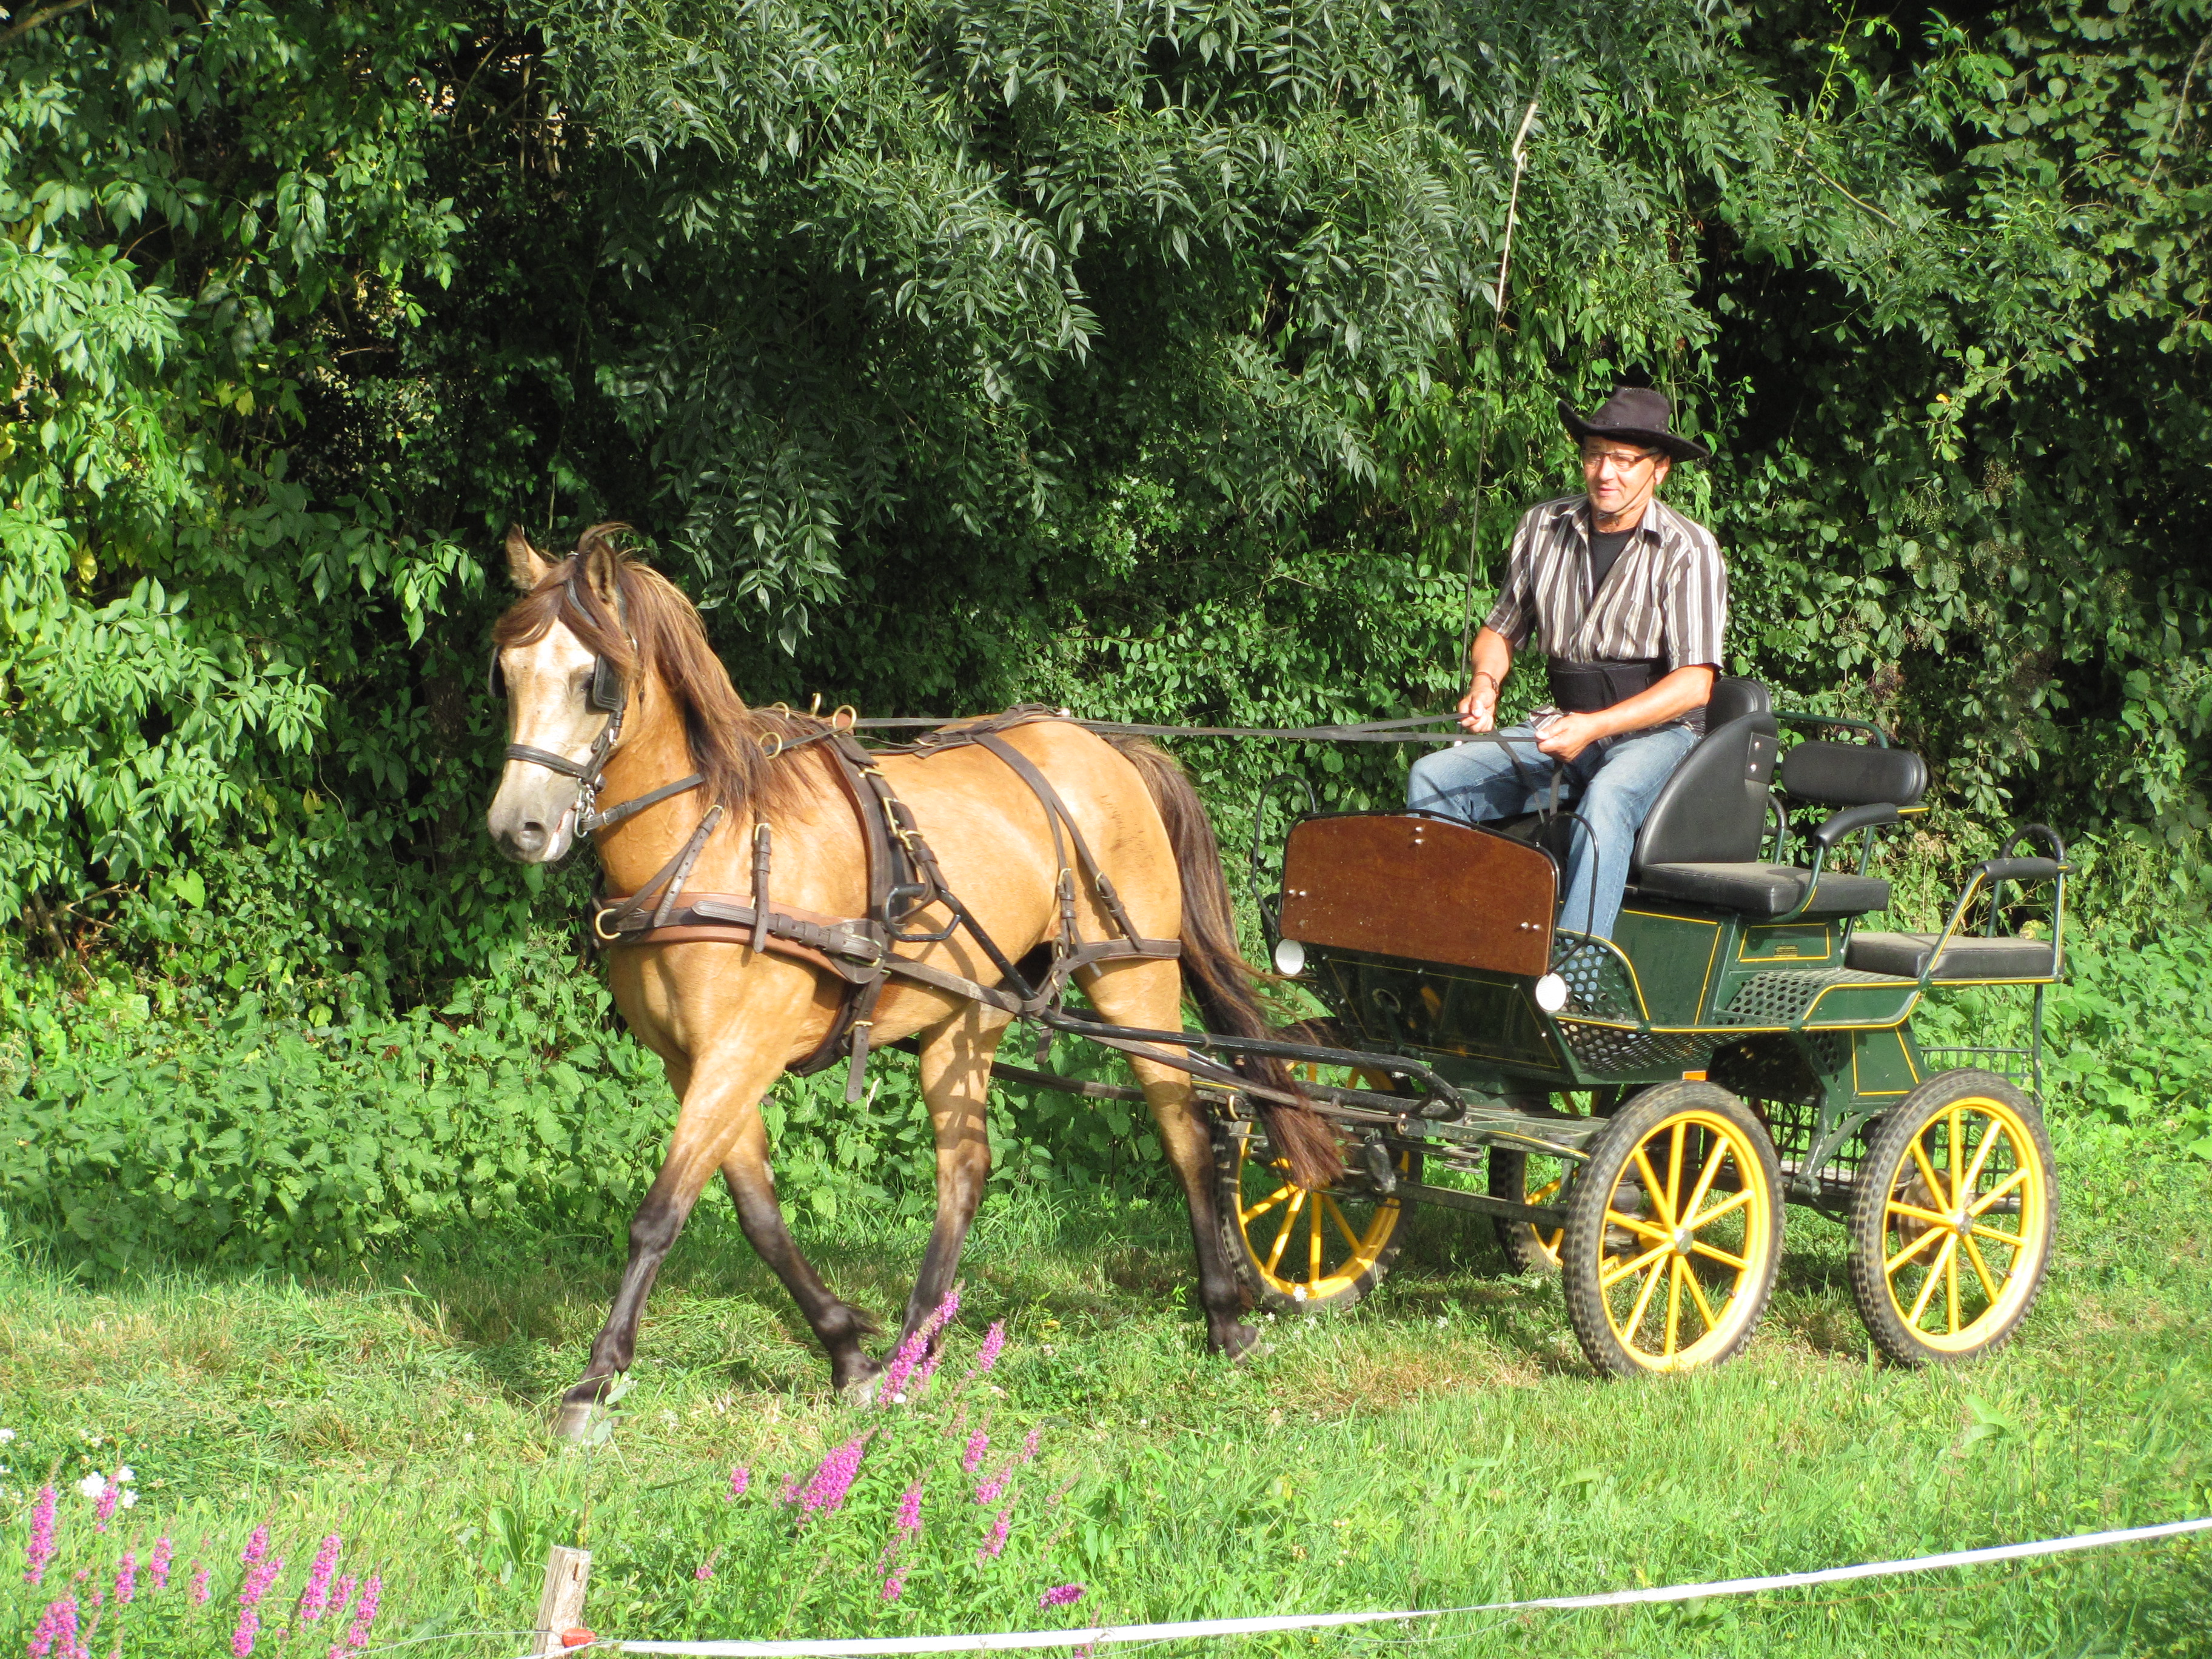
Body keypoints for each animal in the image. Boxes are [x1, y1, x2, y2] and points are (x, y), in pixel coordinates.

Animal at [484, 526, 1336, 1433]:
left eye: (594, 682)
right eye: (508, 673)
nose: (517, 827)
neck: (714, 838)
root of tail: (1109, 750)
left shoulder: (739, 1051)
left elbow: (659, 1215)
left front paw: (593, 1381)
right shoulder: (699, 1062)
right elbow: (758, 1213)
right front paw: (848, 1351)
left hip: (1133, 981)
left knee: (1186, 1134)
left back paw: (1226, 1320)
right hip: (968, 1013)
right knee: (965, 1168)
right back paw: (914, 1346)